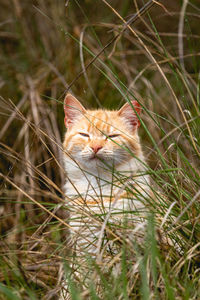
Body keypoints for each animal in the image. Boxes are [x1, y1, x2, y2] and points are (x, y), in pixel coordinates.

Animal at [61, 93, 150, 298]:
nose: (96, 147)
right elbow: (87, 279)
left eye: (112, 137)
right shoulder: (85, 246)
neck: (99, 188)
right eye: (84, 135)